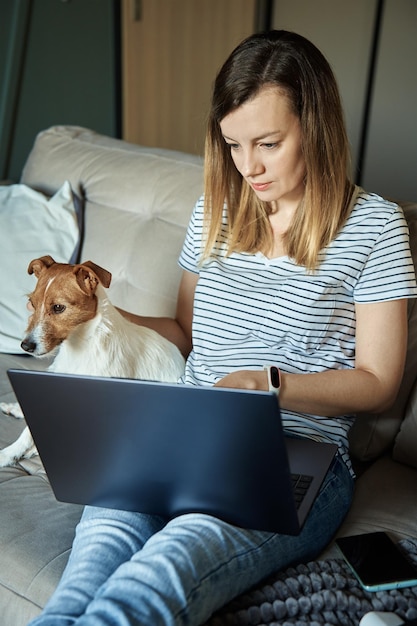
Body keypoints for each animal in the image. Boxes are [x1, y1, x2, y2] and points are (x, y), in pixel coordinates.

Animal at [0, 252, 185, 464]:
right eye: (32, 303)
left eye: (58, 307)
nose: (26, 346)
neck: (80, 346)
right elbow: (29, 429)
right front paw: (10, 452)